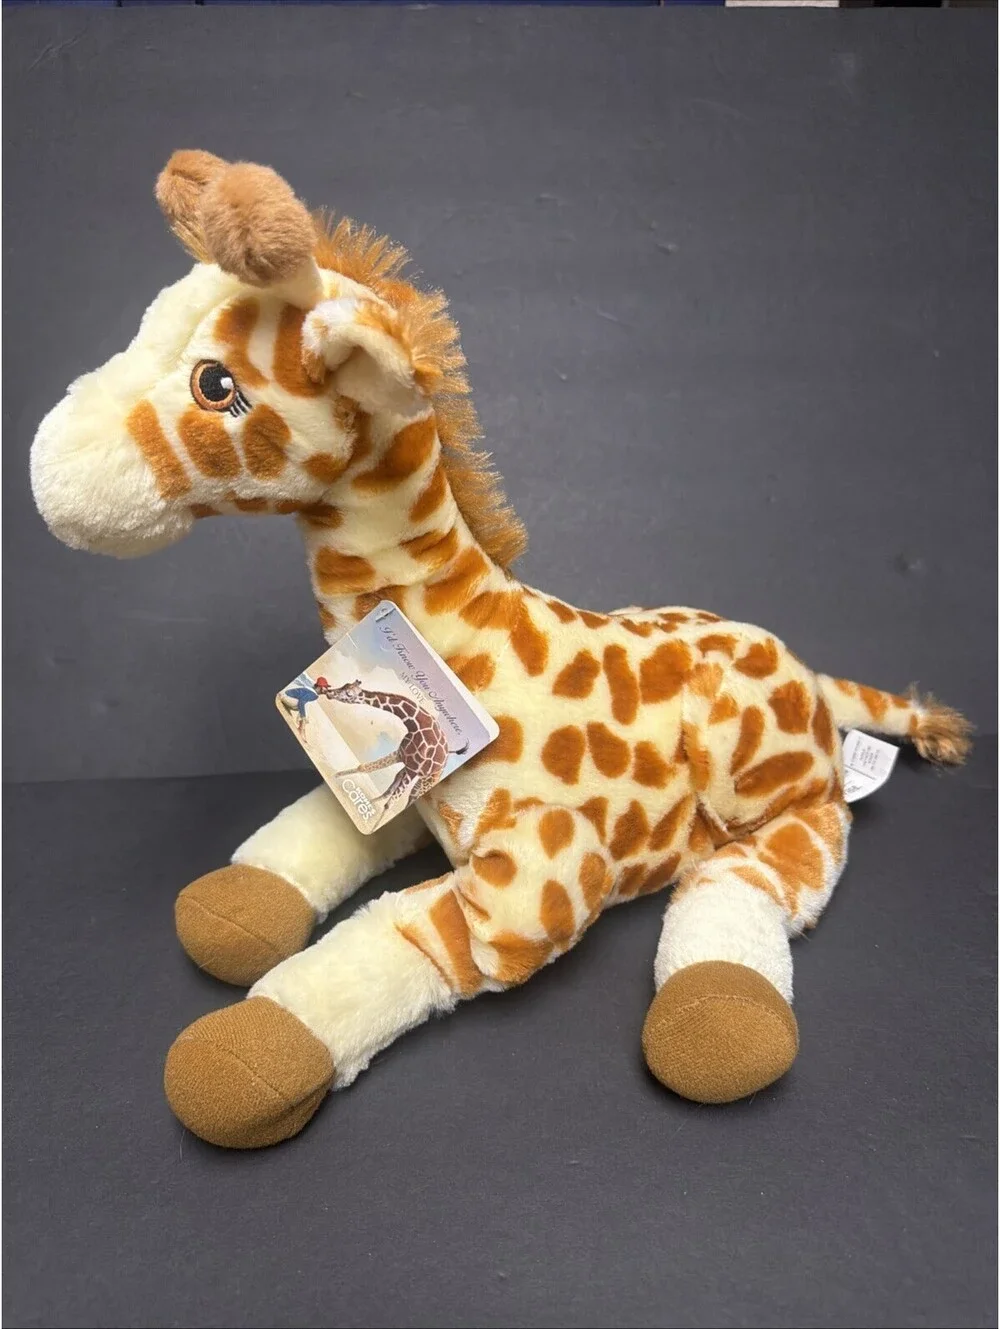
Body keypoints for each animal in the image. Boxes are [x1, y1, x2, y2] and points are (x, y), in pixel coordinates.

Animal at [323, 678, 470, 826]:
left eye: (349, 694)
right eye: (345, 685)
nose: (329, 693)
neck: (417, 726)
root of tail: (446, 759)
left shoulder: (413, 771)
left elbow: (390, 804)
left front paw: (373, 828)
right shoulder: (401, 755)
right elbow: (365, 768)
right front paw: (335, 776)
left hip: (427, 781)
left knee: (411, 797)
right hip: (408, 771)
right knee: (392, 789)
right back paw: (371, 803)